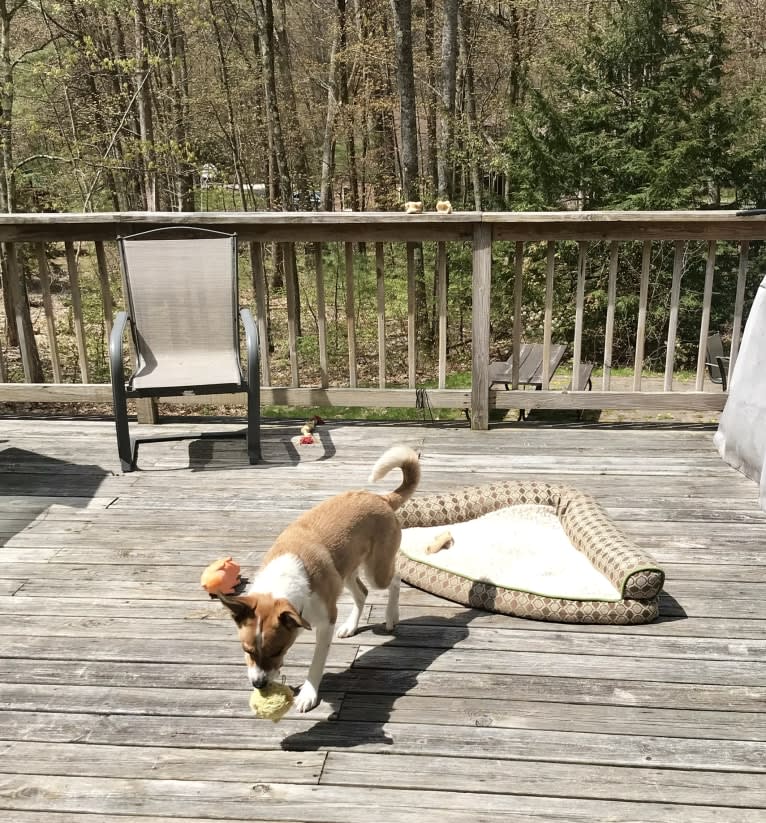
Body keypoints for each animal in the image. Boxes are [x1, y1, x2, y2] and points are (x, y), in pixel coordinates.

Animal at [219, 448, 424, 712]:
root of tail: (381, 498)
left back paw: (391, 616)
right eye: (247, 650)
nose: (258, 684)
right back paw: (351, 626)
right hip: (345, 571)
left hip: (375, 570)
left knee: (395, 579)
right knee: (362, 593)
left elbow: (316, 662)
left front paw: (308, 694)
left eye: (278, 650)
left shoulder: (326, 622)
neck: (282, 581)